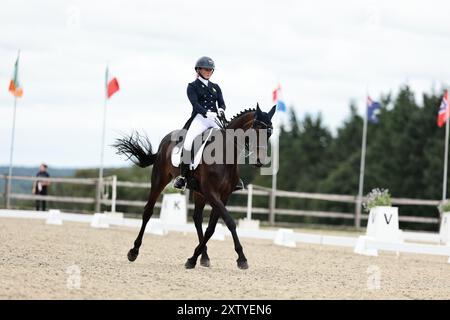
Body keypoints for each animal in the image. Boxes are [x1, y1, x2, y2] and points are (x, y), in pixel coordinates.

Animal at [113, 104, 274, 268]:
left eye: (269, 133)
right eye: (256, 128)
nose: (259, 161)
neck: (224, 155)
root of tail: (166, 139)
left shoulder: (223, 196)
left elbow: (211, 228)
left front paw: (193, 258)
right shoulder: (211, 193)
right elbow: (230, 222)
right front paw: (242, 258)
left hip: (198, 192)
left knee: (197, 218)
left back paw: (204, 257)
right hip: (159, 179)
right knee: (148, 212)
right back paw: (133, 251)